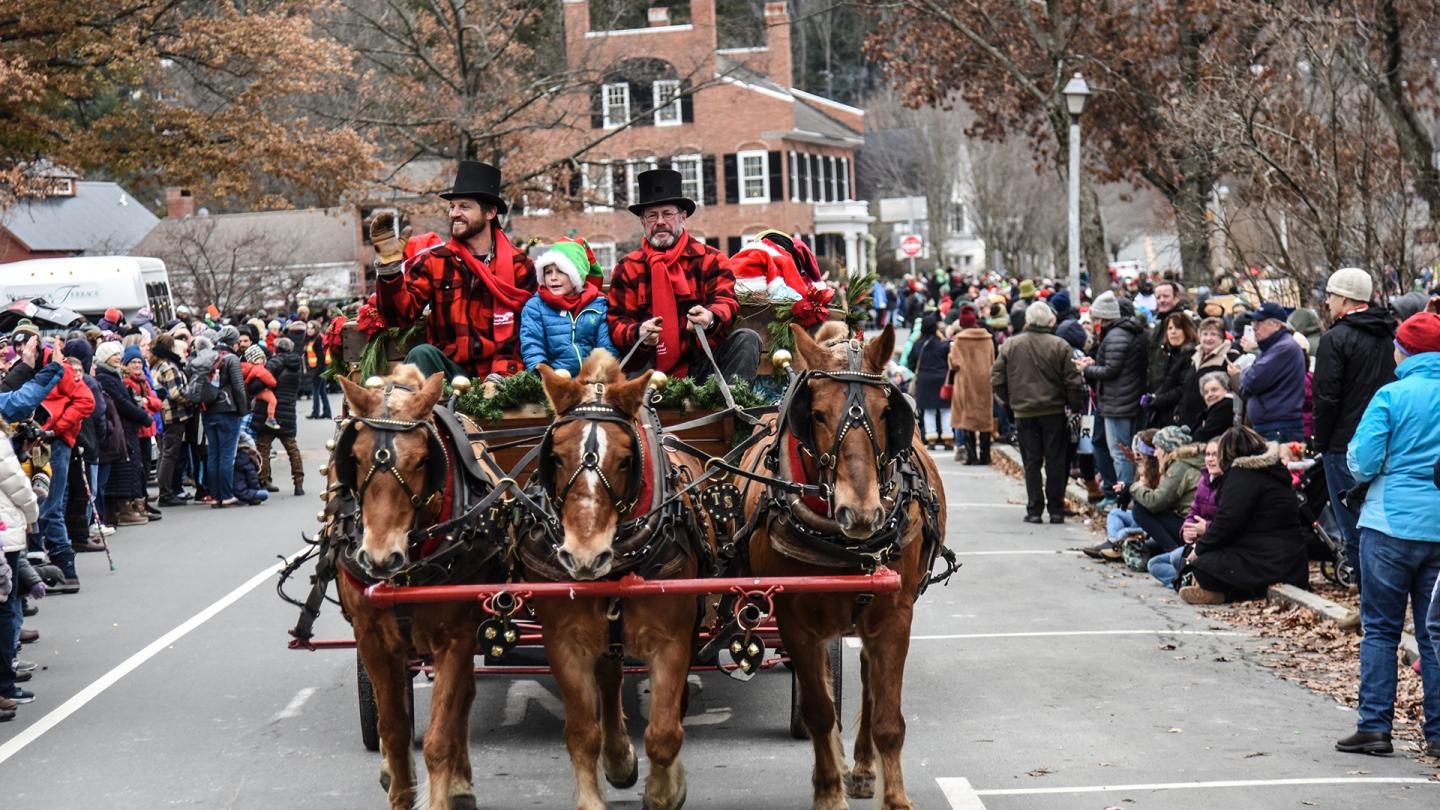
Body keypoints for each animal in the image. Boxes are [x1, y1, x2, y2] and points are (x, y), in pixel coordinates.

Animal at [329, 367, 498, 807]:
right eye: (354, 457)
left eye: (424, 460)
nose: (379, 558)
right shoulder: (372, 639)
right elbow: (394, 729)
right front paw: (399, 788)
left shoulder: (456, 638)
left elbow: (440, 736)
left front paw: (444, 791)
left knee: (462, 703)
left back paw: (460, 784)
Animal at [529, 351, 708, 807]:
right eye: (556, 457)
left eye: (627, 459)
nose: (584, 556)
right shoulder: (564, 641)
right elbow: (581, 733)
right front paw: (595, 794)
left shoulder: (672, 639)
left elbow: (664, 731)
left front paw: (664, 791)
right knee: (609, 680)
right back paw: (618, 758)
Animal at [743, 324, 944, 807]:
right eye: (815, 414)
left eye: (887, 412)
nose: (862, 513)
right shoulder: (795, 621)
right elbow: (819, 712)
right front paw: (828, 791)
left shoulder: (894, 616)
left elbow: (888, 718)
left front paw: (895, 797)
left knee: (870, 681)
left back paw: (866, 768)